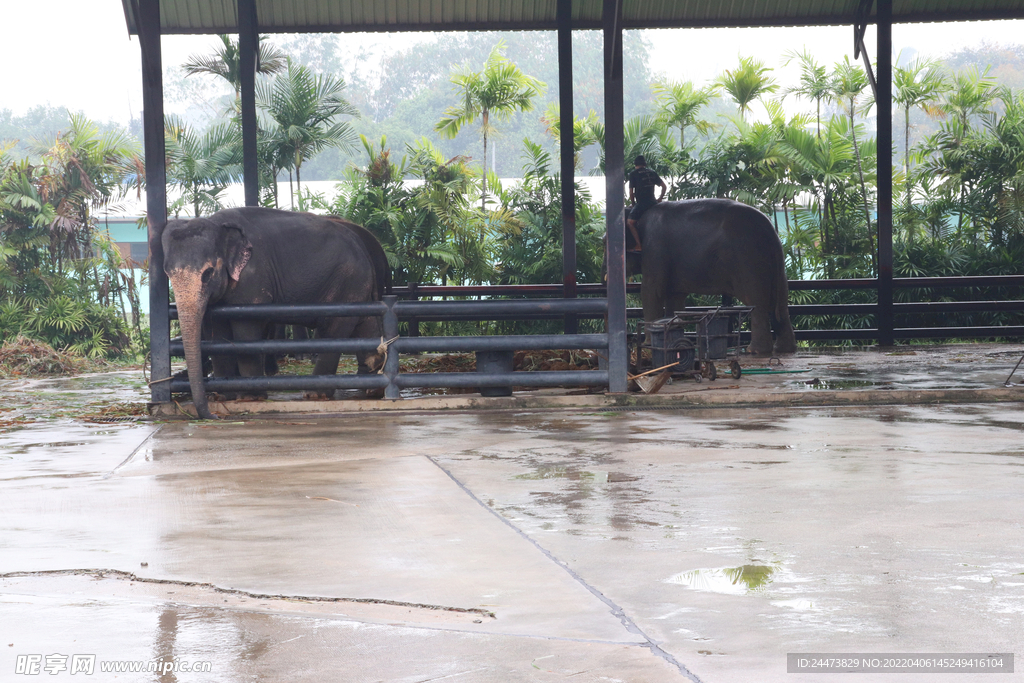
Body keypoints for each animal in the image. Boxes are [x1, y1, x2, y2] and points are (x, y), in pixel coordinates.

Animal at [161, 206, 389, 421]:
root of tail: (362, 247)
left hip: (348, 284)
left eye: (207, 273)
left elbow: (246, 332)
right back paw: (372, 389)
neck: (218, 224)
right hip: (357, 288)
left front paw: (250, 397)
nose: (215, 416)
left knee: (334, 331)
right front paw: (222, 396)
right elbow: (216, 333)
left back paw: (315, 394)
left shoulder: (253, 280)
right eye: (168, 273)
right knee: (366, 325)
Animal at [626, 198, 794, 356]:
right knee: (781, 304)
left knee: (757, 303)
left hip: (749, 259)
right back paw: (783, 349)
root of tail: (771, 230)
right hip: (775, 265)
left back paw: (755, 351)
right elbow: (675, 297)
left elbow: (651, 292)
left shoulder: (654, 249)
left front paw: (648, 344)